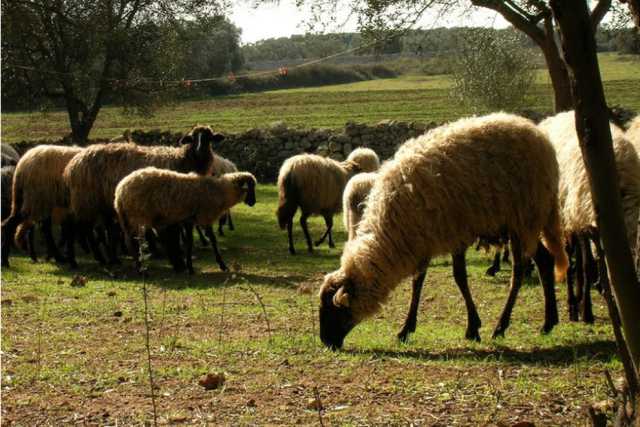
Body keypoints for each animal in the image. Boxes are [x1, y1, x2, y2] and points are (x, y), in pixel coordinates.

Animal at [63, 125, 223, 268]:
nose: (201, 150)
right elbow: (173, 235)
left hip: (101, 204)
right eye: (193, 138)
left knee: (100, 229)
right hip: (86, 200)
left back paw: (111, 259)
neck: (181, 160)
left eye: (209, 137)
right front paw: (177, 259)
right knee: (82, 228)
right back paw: (91, 259)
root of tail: (73, 164)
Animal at [114, 167, 256, 274]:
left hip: (129, 217)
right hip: (135, 216)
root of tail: (120, 191)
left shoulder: (189, 220)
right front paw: (222, 265)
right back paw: (140, 269)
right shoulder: (204, 216)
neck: (220, 191)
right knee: (133, 242)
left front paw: (190, 267)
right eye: (250, 188)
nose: (253, 202)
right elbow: (213, 241)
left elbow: (189, 243)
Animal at [319, 113, 568, 350]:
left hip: (523, 217)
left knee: (519, 272)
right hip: (526, 224)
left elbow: (459, 278)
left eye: (333, 310)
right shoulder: (423, 239)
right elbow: (418, 282)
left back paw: (501, 326)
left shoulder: (455, 233)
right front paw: (406, 329)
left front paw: (473, 328)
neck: (391, 232)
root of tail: (538, 135)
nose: (326, 343)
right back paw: (548, 323)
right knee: (545, 261)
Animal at [539, 111, 640, 323]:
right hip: (565, 215)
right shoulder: (586, 221)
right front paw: (587, 311)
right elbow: (587, 265)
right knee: (570, 258)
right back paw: (573, 304)